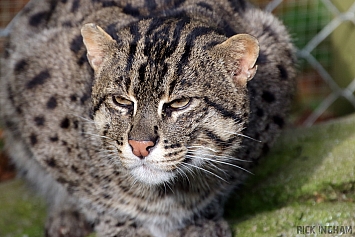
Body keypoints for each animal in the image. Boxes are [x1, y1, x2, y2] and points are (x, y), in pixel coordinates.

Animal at [0, 0, 294, 236]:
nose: (140, 146)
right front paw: (123, 225)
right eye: (121, 101)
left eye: (180, 103)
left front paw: (199, 220)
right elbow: (91, 192)